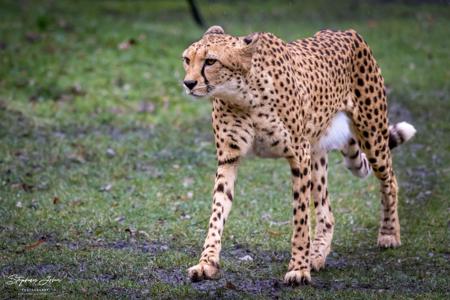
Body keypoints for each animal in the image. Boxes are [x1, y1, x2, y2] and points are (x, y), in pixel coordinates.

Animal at [179, 25, 414, 284]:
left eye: (210, 61)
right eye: (187, 59)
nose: (188, 83)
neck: (243, 96)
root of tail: (346, 31)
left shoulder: (299, 156)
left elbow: (300, 218)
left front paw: (299, 268)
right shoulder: (228, 159)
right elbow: (217, 213)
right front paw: (207, 263)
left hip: (372, 136)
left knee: (390, 180)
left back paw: (389, 234)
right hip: (317, 152)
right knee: (326, 212)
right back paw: (317, 254)